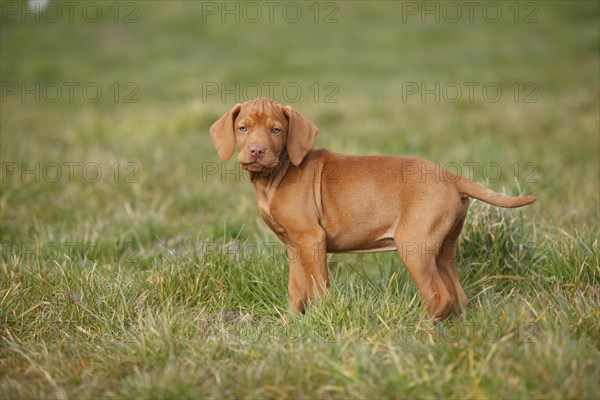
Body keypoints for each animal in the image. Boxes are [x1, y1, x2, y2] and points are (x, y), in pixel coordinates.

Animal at [210, 97, 536, 318]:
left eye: (276, 130)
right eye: (242, 128)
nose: (256, 150)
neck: (276, 174)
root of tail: (451, 176)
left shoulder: (312, 239)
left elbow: (319, 285)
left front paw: (322, 318)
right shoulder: (294, 245)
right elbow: (296, 288)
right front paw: (293, 322)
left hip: (413, 245)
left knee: (438, 295)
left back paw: (418, 327)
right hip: (443, 248)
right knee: (457, 295)